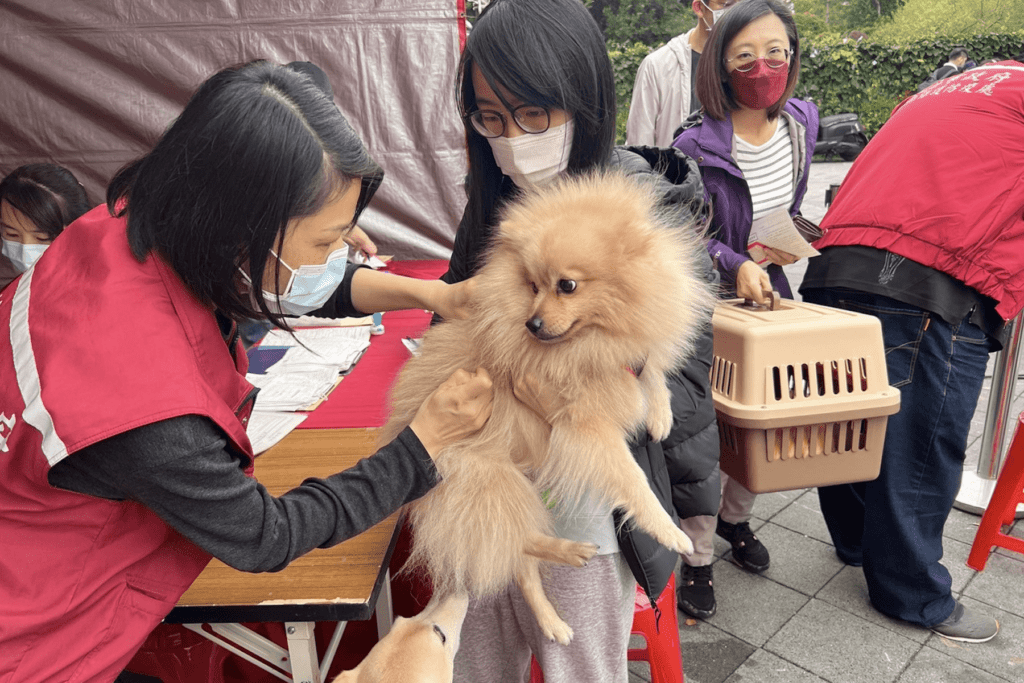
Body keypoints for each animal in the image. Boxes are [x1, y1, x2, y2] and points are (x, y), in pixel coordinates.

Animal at [376, 171, 712, 647]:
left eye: (565, 285)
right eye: (532, 286)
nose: (531, 324)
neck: (594, 338)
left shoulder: (624, 359)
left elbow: (651, 371)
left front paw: (661, 414)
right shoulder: (588, 427)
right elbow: (634, 481)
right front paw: (669, 530)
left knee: (519, 555)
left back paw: (562, 578)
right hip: (491, 482)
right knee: (513, 548)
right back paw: (559, 584)